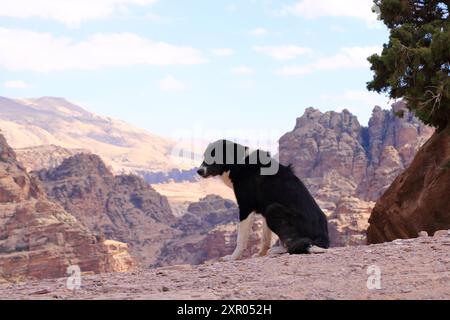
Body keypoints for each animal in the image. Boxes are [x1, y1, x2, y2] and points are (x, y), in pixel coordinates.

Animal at [198, 139, 330, 260]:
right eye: (205, 155)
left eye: (215, 155)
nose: (199, 171)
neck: (239, 163)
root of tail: (324, 238)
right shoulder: (263, 209)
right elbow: (265, 238)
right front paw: (261, 254)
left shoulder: (246, 207)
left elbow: (241, 238)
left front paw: (233, 257)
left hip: (273, 209)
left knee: (299, 243)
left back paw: (278, 250)